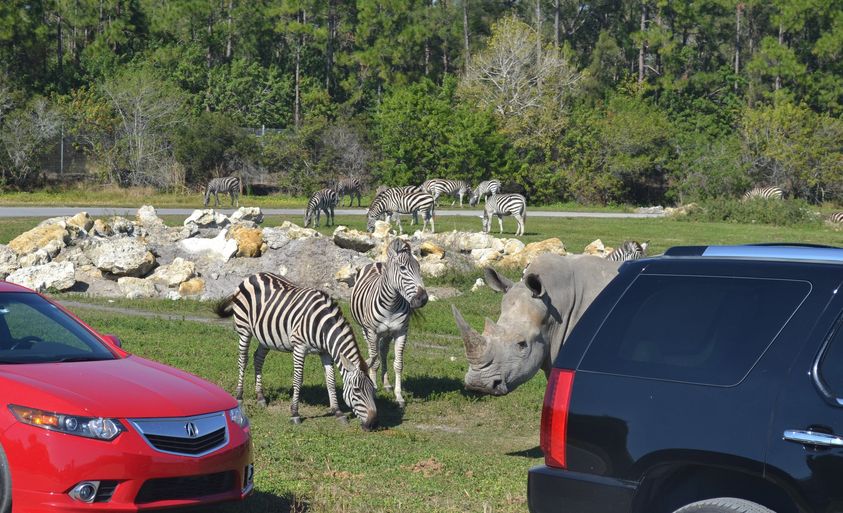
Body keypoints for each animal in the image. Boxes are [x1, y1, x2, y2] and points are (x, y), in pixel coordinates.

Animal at [216, 270, 378, 430]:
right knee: (243, 360)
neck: (323, 326)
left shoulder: (325, 352)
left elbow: (331, 380)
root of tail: (253, 275)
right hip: (244, 329)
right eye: (357, 390)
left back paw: (260, 397)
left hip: (266, 335)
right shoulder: (299, 347)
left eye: (372, 389)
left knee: (258, 358)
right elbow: (298, 379)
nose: (371, 423)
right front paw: (295, 413)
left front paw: (337, 412)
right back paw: (239, 396)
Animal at [352, 237, 428, 408]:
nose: (423, 299)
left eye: (419, 267)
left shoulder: (401, 332)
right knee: (373, 354)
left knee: (383, 351)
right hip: (366, 330)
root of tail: (378, 263)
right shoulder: (372, 332)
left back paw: (386, 384)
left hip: (387, 334)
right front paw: (373, 390)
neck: (391, 305)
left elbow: (398, 364)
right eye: (402, 268)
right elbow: (374, 362)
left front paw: (399, 396)